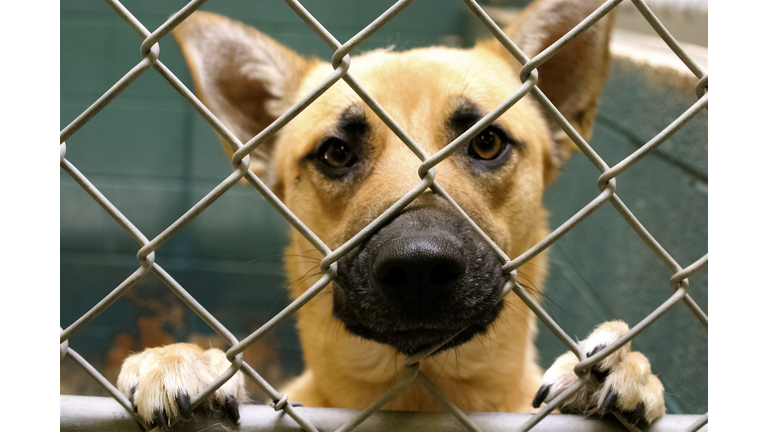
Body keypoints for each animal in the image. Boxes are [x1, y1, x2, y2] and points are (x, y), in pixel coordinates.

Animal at [115, 0, 664, 428]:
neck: (418, 398)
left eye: (487, 142)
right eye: (336, 153)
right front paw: (181, 360)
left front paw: (611, 369)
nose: (419, 266)